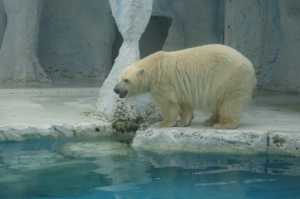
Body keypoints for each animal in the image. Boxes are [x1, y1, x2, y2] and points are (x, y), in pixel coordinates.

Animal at [113, 44, 256, 129]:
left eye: (126, 80)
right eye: (117, 79)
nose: (116, 89)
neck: (154, 67)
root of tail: (250, 66)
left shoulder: (163, 83)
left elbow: (168, 104)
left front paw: (162, 123)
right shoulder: (182, 87)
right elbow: (184, 104)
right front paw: (183, 122)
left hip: (229, 78)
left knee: (229, 101)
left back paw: (223, 124)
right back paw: (210, 121)